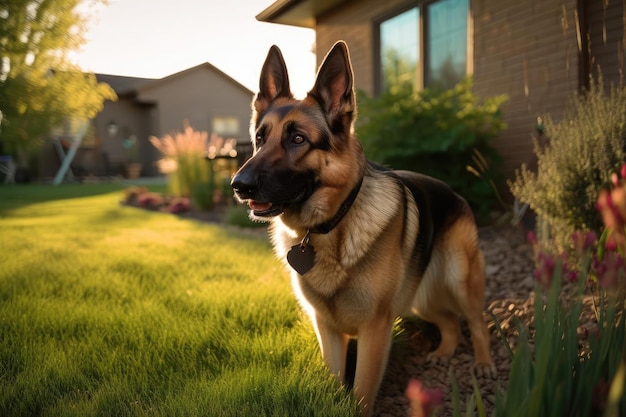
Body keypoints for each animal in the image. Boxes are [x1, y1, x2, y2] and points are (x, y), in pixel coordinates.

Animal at [232, 40, 494, 414]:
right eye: (259, 138)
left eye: (298, 139)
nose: (239, 185)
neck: (331, 227)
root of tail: (454, 191)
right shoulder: (326, 329)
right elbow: (334, 379)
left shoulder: (374, 331)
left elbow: (361, 392)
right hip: (420, 299)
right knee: (450, 321)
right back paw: (444, 351)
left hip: (460, 279)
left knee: (476, 321)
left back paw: (484, 363)